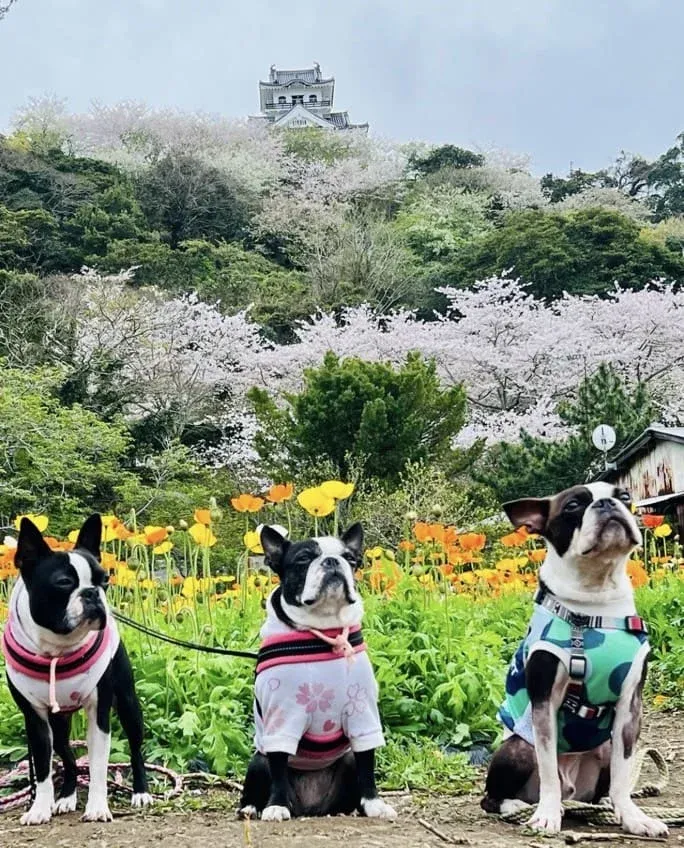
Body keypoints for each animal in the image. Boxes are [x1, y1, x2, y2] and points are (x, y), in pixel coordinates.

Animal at [2, 512, 152, 824]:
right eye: (63, 582)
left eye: (105, 579)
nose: (92, 592)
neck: (57, 649)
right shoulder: (35, 720)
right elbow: (43, 770)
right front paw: (39, 808)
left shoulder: (99, 713)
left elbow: (98, 766)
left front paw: (97, 807)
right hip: (58, 724)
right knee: (68, 758)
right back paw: (66, 797)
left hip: (129, 705)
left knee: (135, 750)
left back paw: (141, 792)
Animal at [238, 524, 396, 820]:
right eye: (303, 559)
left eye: (350, 558)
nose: (332, 561)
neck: (324, 632)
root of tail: (310, 809)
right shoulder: (281, 718)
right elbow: (278, 766)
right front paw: (276, 806)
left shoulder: (363, 713)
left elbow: (367, 762)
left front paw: (374, 803)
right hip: (257, 759)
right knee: (262, 770)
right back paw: (251, 808)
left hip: (346, 760)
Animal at [480, 480, 668, 840]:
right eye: (572, 506)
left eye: (624, 496)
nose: (607, 504)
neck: (595, 603)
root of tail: (573, 791)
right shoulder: (544, 703)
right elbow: (547, 767)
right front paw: (546, 816)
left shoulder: (630, 707)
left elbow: (624, 774)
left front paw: (633, 817)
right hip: (517, 748)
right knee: (495, 796)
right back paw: (520, 805)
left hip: (604, 749)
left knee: (601, 788)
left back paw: (605, 806)